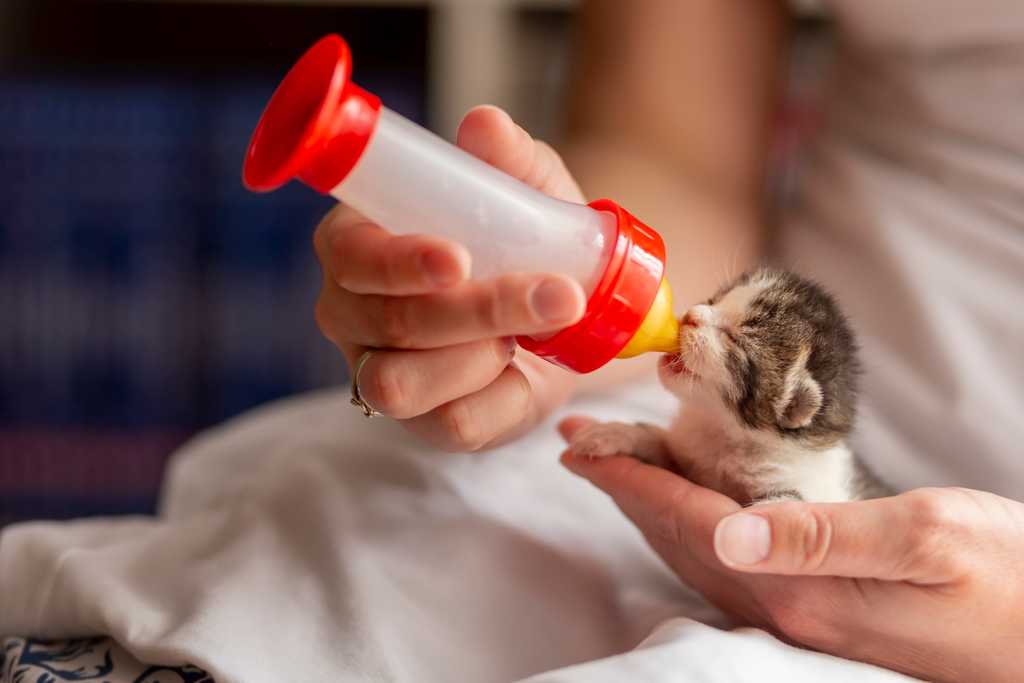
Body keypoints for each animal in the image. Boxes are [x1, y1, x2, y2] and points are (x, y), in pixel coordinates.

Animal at [569, 270, 888, 505]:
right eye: (714, 300)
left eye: (732, 338)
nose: (690, 316)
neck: (725, 431)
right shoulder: (689, 458)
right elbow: (659, 441)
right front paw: (614, 433)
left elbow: (786, 504)